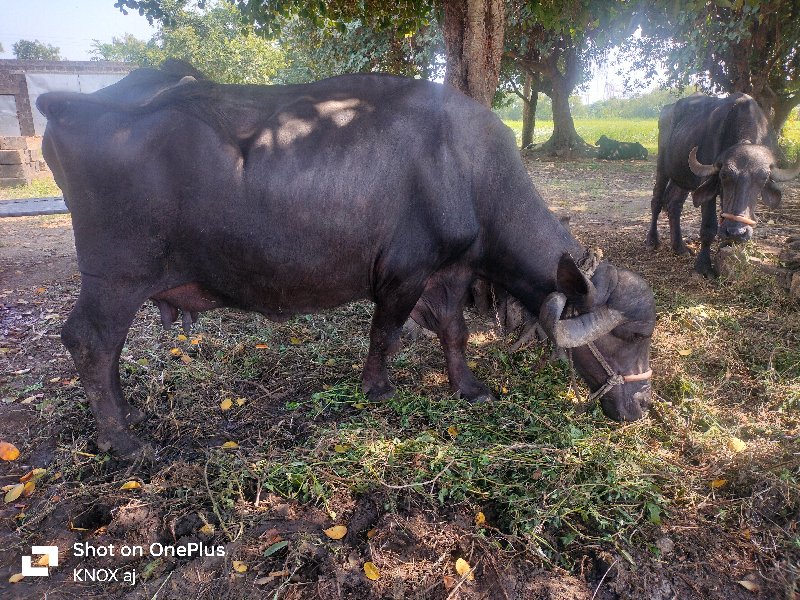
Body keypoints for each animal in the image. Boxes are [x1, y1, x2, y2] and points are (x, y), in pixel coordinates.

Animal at [37, 62, 656, 454]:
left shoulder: (451, 272)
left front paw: (468, 386)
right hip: (116, 277)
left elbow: (454, 331)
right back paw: (121, 439)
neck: (467, 169)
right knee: (89, 341)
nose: (641, 406)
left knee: (103, 350)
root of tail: (72, 102)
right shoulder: (403, 274)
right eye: (627, 337)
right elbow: (385, 331)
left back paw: (125, 416)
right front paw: (378, 389)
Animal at [648, 92, 796, 276]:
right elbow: (709, 226)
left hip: (682, 177)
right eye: (724, 175)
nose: (737, 231)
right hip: (662, 167)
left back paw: (679, 247)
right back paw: (652, 240)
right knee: (657, 201)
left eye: (763, 178)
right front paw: (703, 266)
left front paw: (728, 250)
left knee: (673, 204)